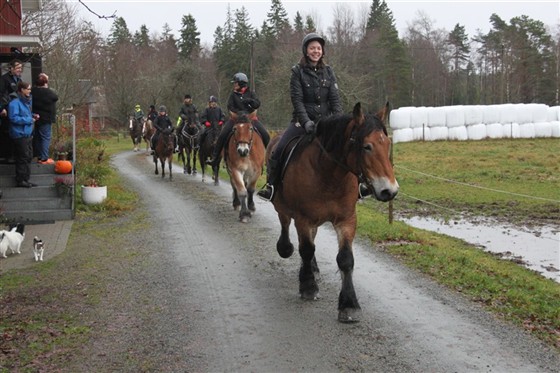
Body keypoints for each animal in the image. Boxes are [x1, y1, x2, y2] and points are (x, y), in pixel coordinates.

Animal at [266, 102, 398, 322]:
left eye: (387, 144)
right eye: (366, 146)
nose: (390, 191)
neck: (328, 175)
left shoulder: (347, 219)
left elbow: (345, 259)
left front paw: (349, 304)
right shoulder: (303, 219)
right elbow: (306, 249)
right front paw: (308, 287)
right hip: (283, 206)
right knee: (286, 226)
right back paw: (288, 250)